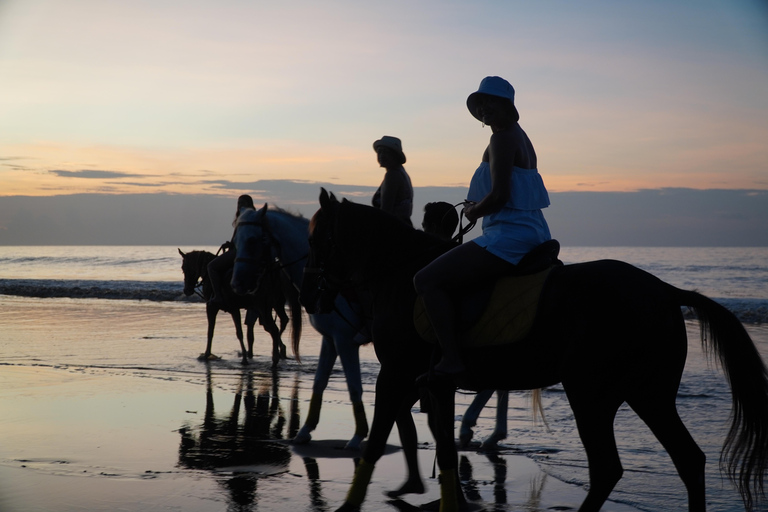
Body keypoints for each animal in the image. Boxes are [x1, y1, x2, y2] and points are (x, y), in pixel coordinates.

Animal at [304, 190, 768, 512]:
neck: (400, 275)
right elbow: (445, 449)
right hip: (647, 393)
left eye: (316, 238)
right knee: (687, 460)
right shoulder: (435, 385)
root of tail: (666, 292)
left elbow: (380, 437)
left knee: (608, 468)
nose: (310, 296)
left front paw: (349, 504)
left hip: (592, 394)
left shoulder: (397, 373)